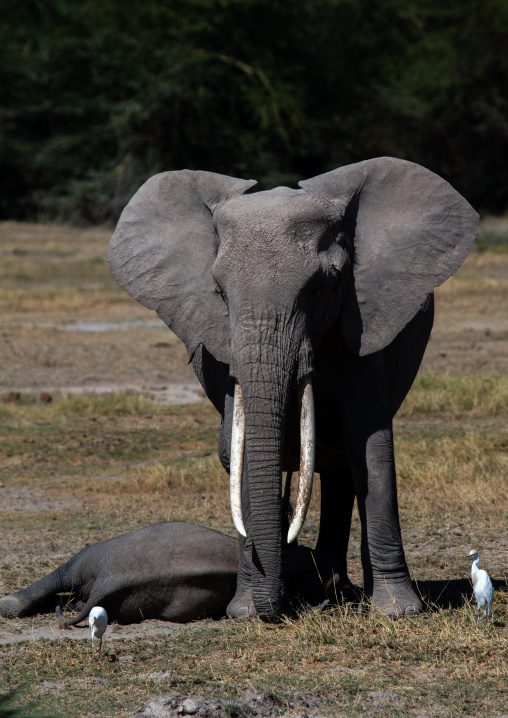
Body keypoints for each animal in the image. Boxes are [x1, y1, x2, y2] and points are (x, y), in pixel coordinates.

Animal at [107, 157, 478, 620]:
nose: (277, 608)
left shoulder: (362, 322)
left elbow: (370, 444)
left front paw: (397, 611)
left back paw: (339, 591)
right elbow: (239, 449)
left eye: (321, 287)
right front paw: (247, 612)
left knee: (341, 464)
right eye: (220, 293)